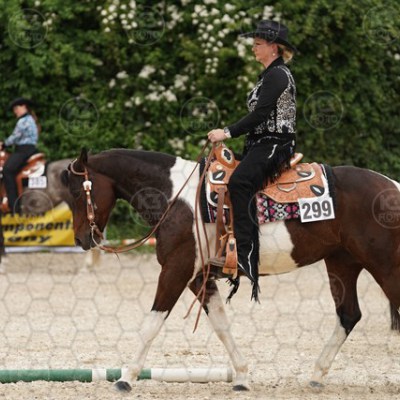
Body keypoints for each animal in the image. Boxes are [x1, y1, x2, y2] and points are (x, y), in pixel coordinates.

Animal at [61, 147, 400, 393]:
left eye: (77, 193)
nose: (81, 239)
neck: (176, 197)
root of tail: (392, 186)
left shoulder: (176, 269)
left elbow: (152, 325)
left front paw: (126, 377)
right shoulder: (198, 276)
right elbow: (221, 325)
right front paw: (242, 376)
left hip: (384, 265)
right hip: (343, 262)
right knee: (348, 315)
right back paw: (316, 375)